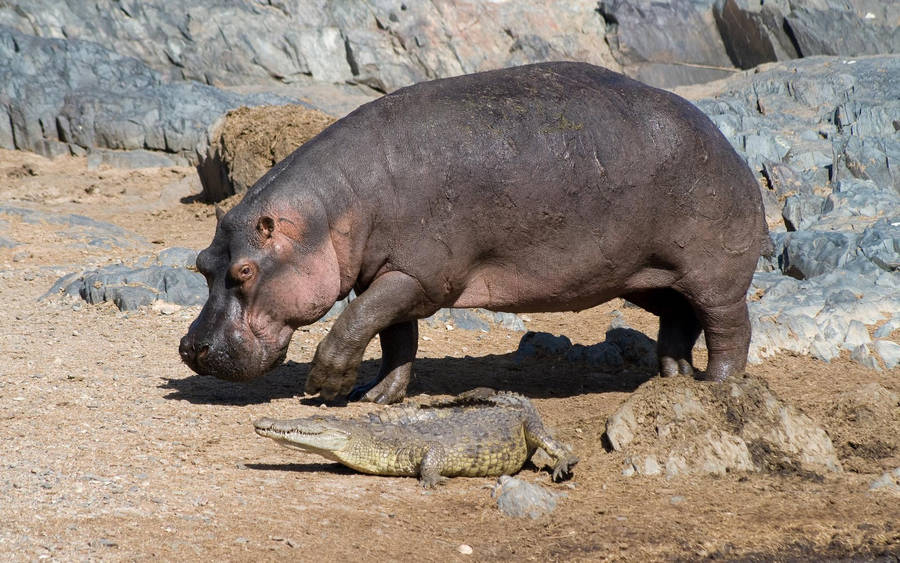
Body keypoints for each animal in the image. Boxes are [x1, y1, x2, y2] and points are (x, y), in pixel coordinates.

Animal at [180, 62, 768, 404]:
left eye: (245, 270)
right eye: (202, 265)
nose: (190, 348)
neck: (329, 212)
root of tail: (725, 142)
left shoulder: (416, 275)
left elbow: (355, 323)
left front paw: (326, 388)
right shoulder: (391, 274)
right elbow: (393, 337)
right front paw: (377, 395)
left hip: (712, 274)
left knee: (728, 326)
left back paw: (717, 385)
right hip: (649, 276)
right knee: (678, 319)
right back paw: (671, 377)